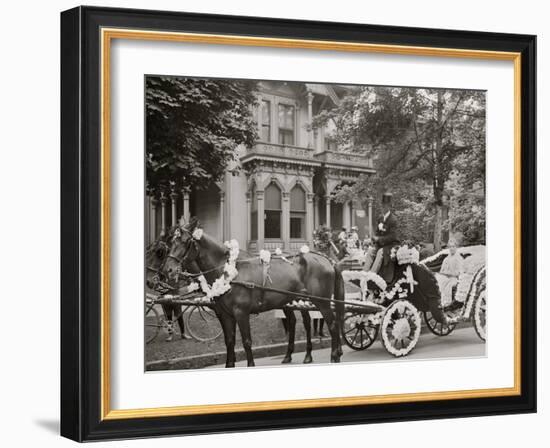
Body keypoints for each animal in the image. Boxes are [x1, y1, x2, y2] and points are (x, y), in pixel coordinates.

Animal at [163, 218, 344, 368]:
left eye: (185, 241)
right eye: (171, 241)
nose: (168, 270)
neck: (229, 270)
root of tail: (327, 260)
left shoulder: (241, 313)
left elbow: (247, 341)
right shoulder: (225, 314)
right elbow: (229, 341)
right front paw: (229, 365)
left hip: (321, 302)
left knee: (332, 325)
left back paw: (334, 355)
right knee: (297, 323)